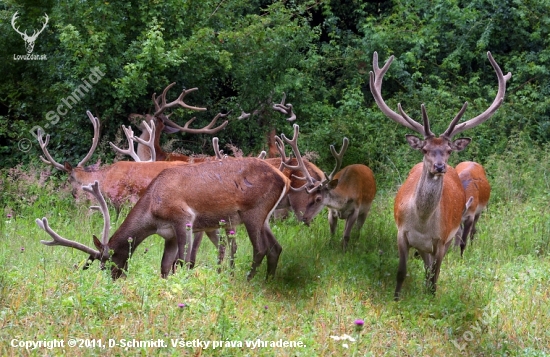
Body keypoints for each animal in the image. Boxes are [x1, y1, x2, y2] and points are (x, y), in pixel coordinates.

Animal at [36, 157, 292, 280]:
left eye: (107, 262)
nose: (114, 278)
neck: (153, 210)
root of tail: (284, 178)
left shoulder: (183, 218)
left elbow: (183, 261)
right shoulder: (167, 234)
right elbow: (165, 266)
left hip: (253, 212)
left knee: (260, 248)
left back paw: (248, 280)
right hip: (264, 217)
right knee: (276, 247)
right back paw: (268, 281)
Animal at [370, 51, 512, 298]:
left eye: (448, 150)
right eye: (425, 149)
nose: (439, 166)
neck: (422, 223)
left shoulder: (442, 239)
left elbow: (435, 277)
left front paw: (431, 300)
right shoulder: (401, 233)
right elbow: (401, 272)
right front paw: (396, 298)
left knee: (432, 271)